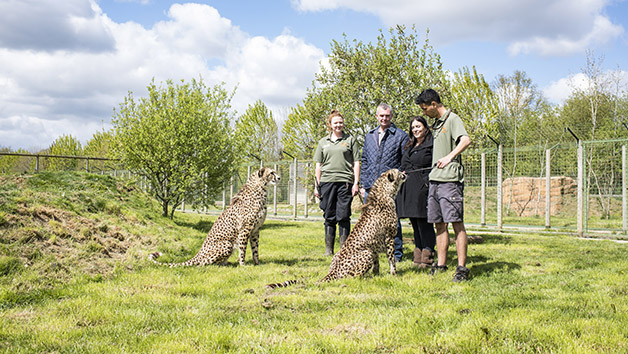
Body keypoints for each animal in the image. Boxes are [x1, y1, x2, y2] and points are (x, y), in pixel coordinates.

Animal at [150, 167, 280, 266]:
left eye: (274, 172)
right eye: (271, 173)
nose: (279, 178)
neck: (261, 190)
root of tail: (198, 253)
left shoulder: (256, 229)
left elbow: (255, 249)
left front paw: (257, 263)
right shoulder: (245, 228)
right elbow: (243, 248)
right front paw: (242, 264)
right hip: (227, 244)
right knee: (202, 264)